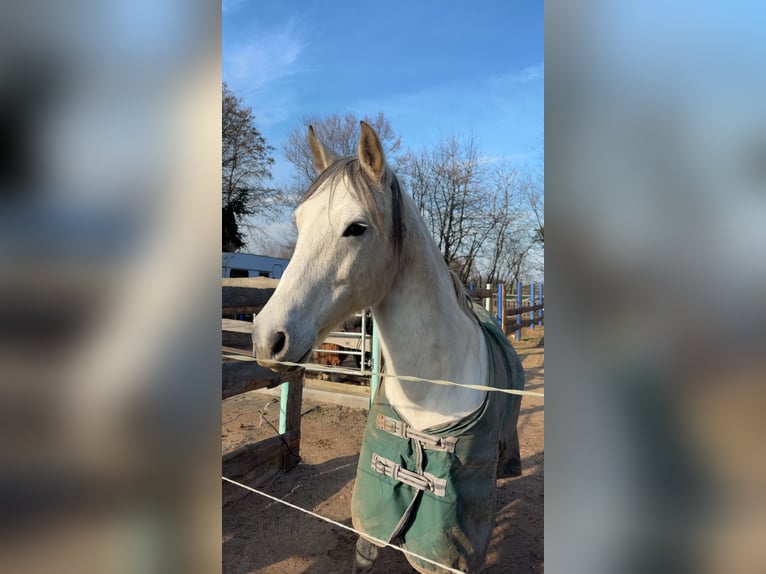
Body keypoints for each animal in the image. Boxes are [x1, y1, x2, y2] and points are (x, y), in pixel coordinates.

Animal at [252, 122, 525, 573]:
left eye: (357, 228)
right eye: (300, 222)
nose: (266, 338)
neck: (432, 388)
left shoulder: (449, 548)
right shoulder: (373, 515)